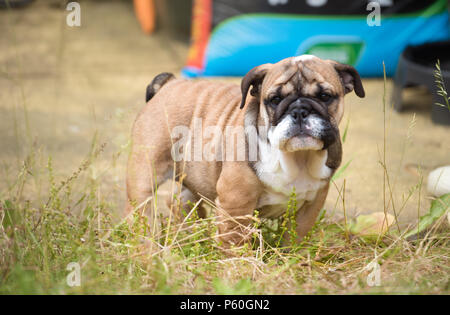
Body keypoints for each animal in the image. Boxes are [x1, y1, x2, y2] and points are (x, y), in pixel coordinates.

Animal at [125, 56, 364, 249]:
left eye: (324, 96)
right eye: (275, 99)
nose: (299, 110)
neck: (296, 157)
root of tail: (169, 84)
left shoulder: (310, 206)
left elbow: (295, 237)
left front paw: (293, 257)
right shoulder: (236, 203)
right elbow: (235, 240)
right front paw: (237, 265)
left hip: (196, 175)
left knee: (179, 200)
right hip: (146, 170)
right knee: (140, 208)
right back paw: (146, 245)